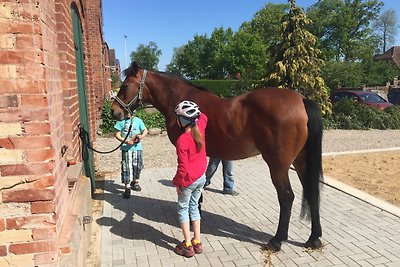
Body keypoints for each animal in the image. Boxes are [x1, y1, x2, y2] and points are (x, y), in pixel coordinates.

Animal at [111, 61, 324, 252]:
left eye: (125, 86)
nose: (114, 111)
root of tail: (301, 100)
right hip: (301, 162)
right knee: (312, 192)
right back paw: (314, 239)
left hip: (278, 166)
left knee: (287, 197)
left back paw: (277, 241)